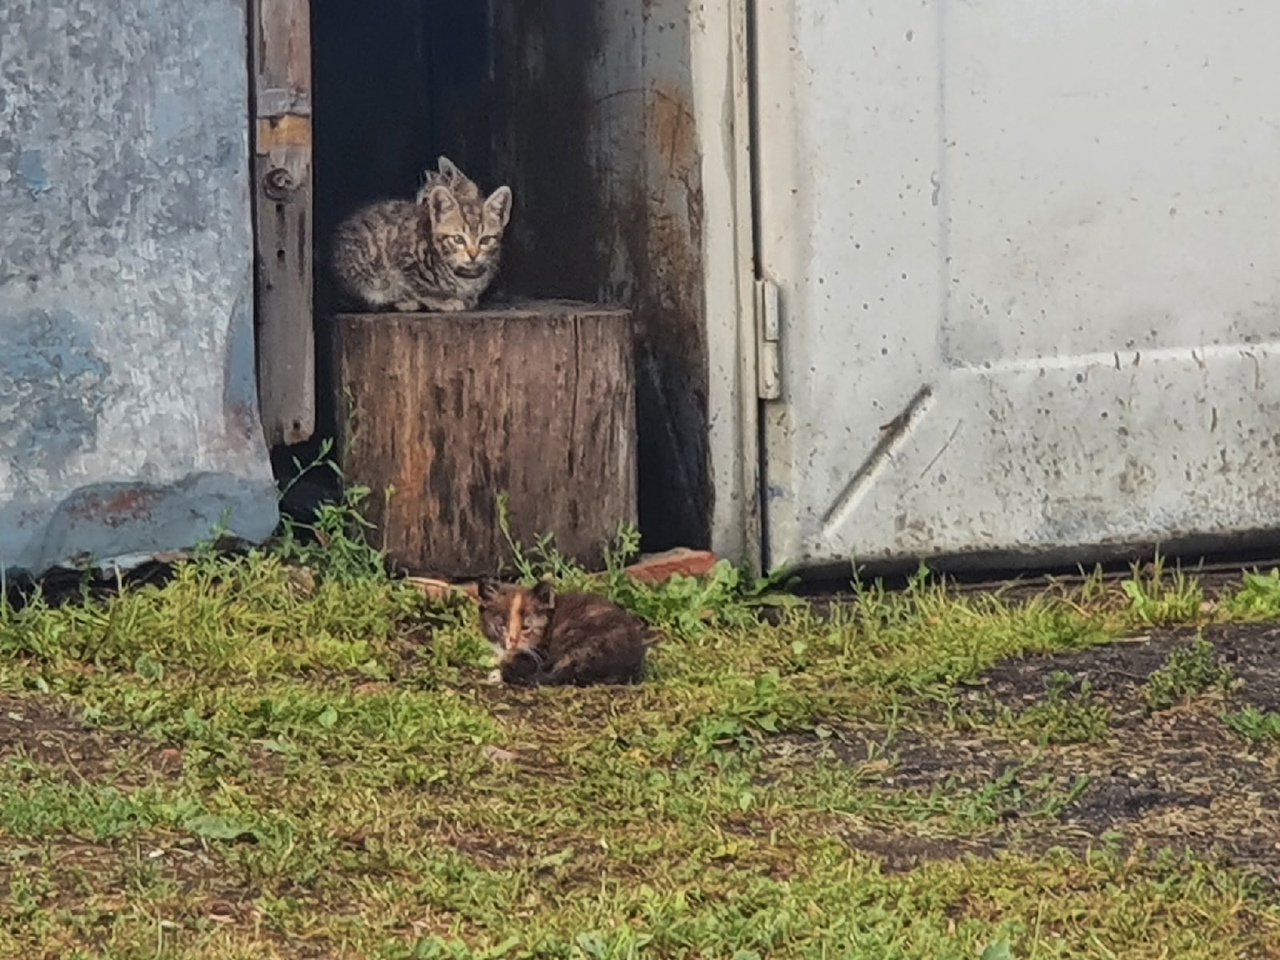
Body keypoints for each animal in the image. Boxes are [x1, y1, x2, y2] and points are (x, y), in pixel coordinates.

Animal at [329, 162, 512, 313]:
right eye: (458, 239)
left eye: (485, 240)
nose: (473, 255)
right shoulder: (400, 255)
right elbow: (416, 286)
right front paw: (442, 301)